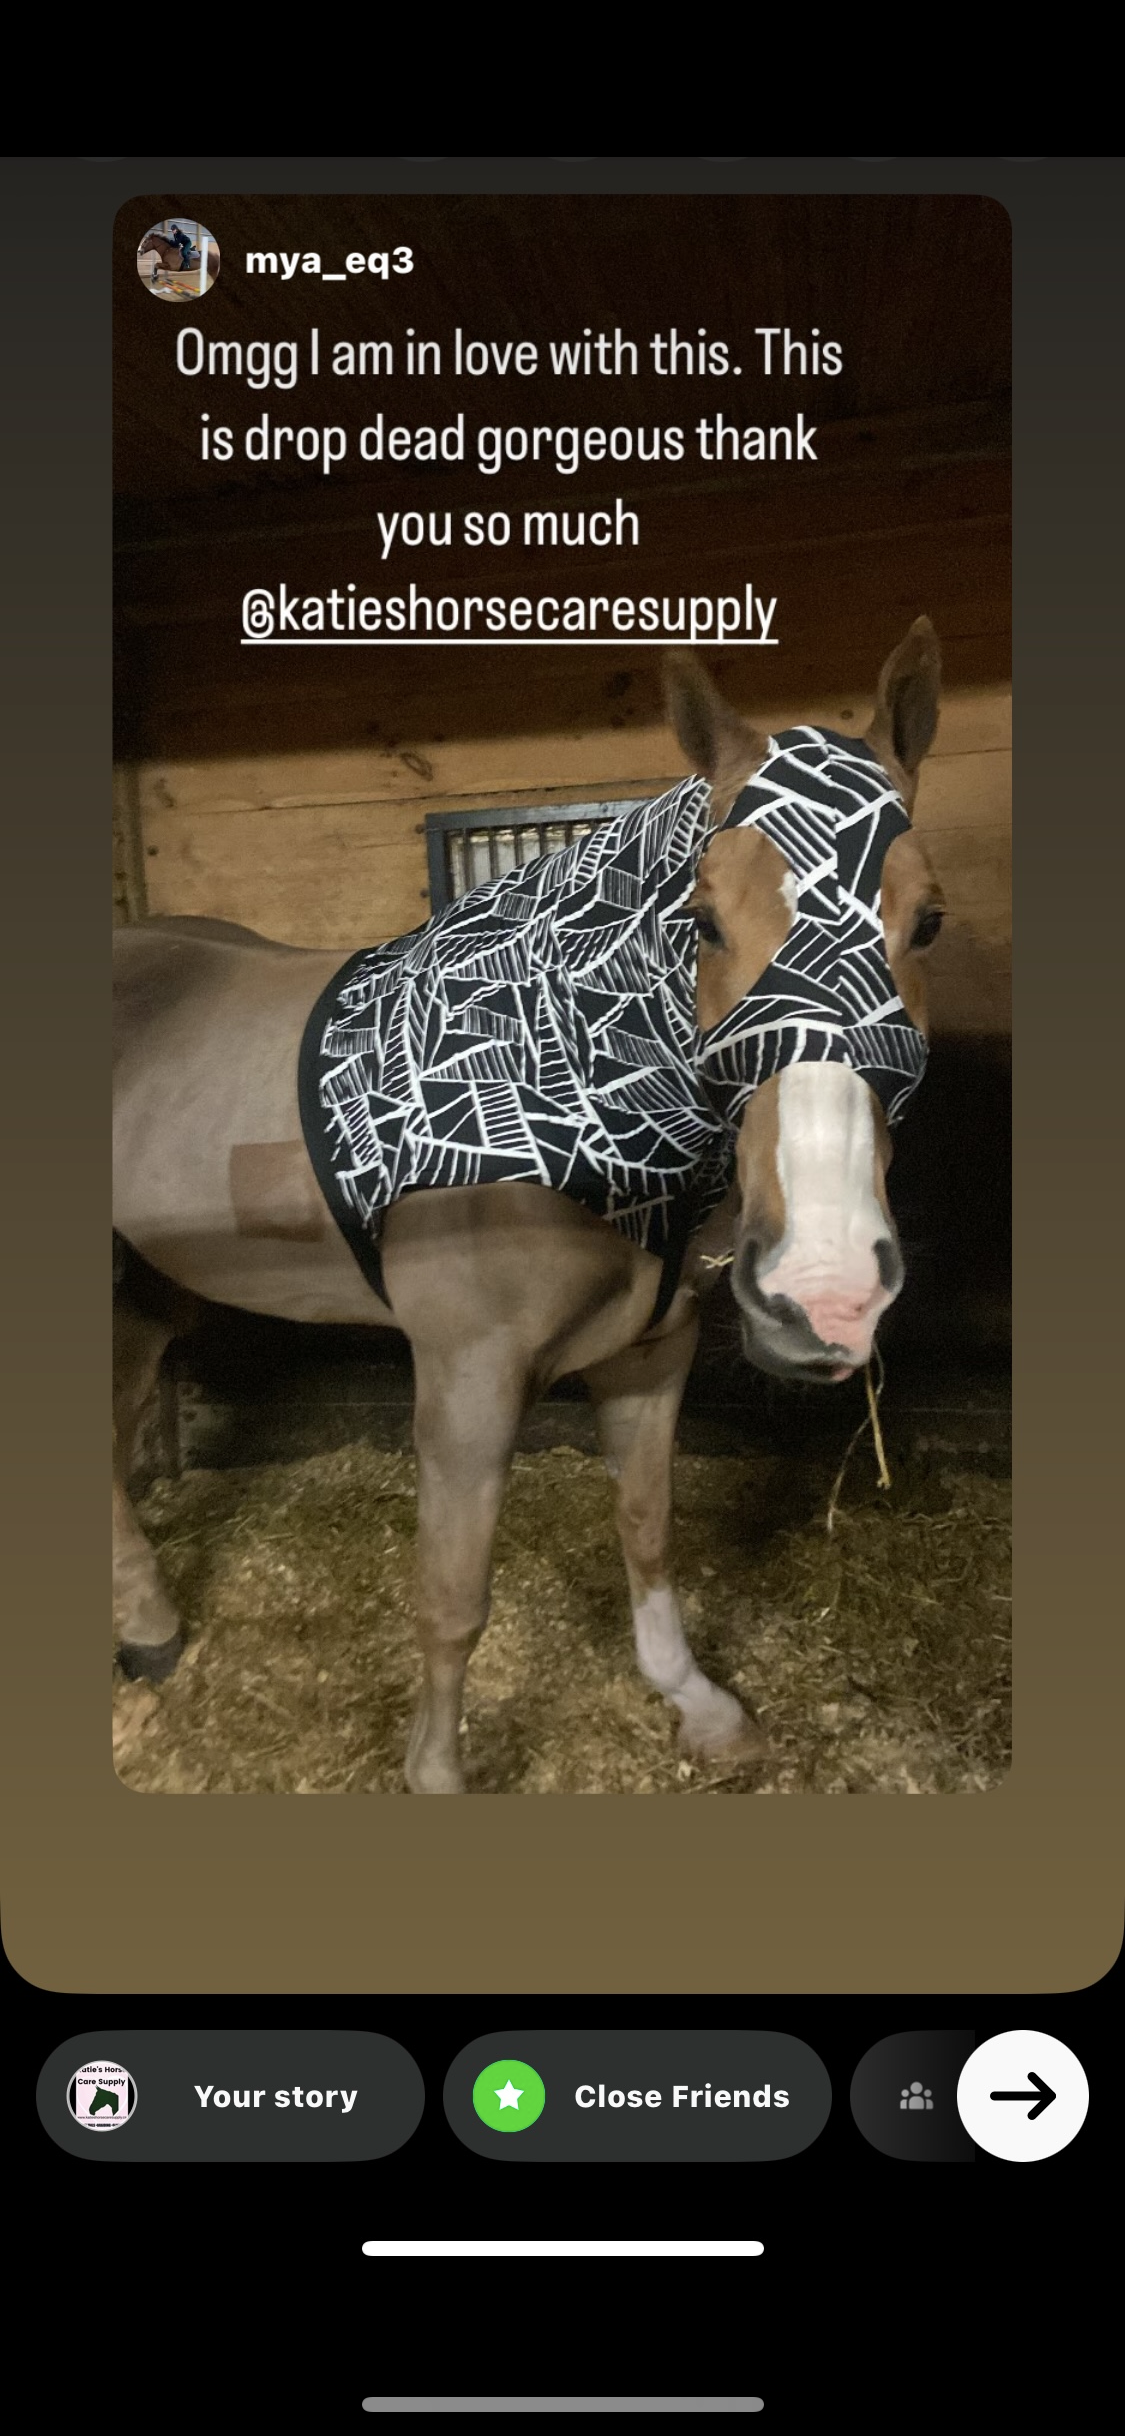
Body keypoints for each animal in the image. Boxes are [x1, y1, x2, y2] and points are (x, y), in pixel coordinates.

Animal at [113, 622, 946, 1793]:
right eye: (701, 922)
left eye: (929, 920)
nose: (823, 1291)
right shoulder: (467, 1382)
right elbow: (454, 1599)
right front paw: (437, 1776)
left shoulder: (651, 1352)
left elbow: (646, 1529)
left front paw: (695, 1701)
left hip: (143, 1295)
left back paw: (148, 1629)